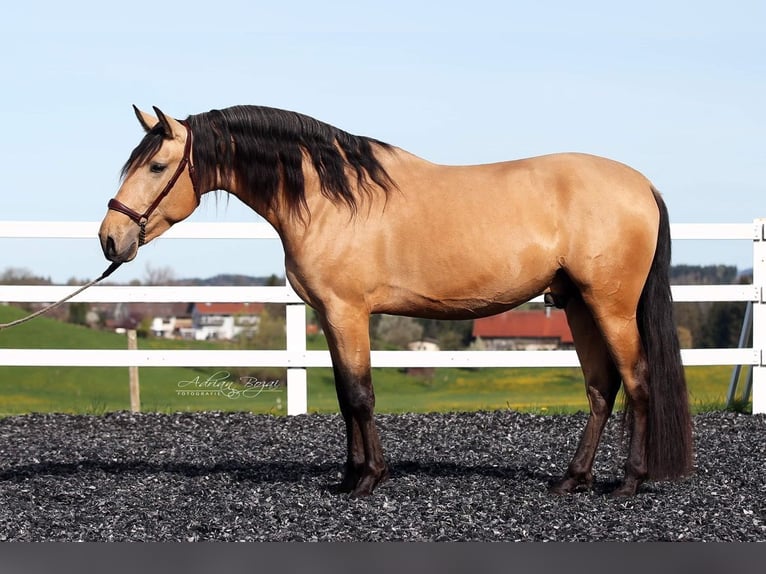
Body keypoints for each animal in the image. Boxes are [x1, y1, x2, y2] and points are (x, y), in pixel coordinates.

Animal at [100, 106, 696, 498]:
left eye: (155, 167)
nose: (110, 239)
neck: (330, 198)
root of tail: (642, 186)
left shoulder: (347, 312)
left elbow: (360, 395)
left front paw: (367, 479)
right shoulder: (329, 316)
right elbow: (346, 397)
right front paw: (350, 475)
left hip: (610, 307)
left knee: (638, 383)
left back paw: (628, 483)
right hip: (576, 304)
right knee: (601, 389)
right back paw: (571, 479)